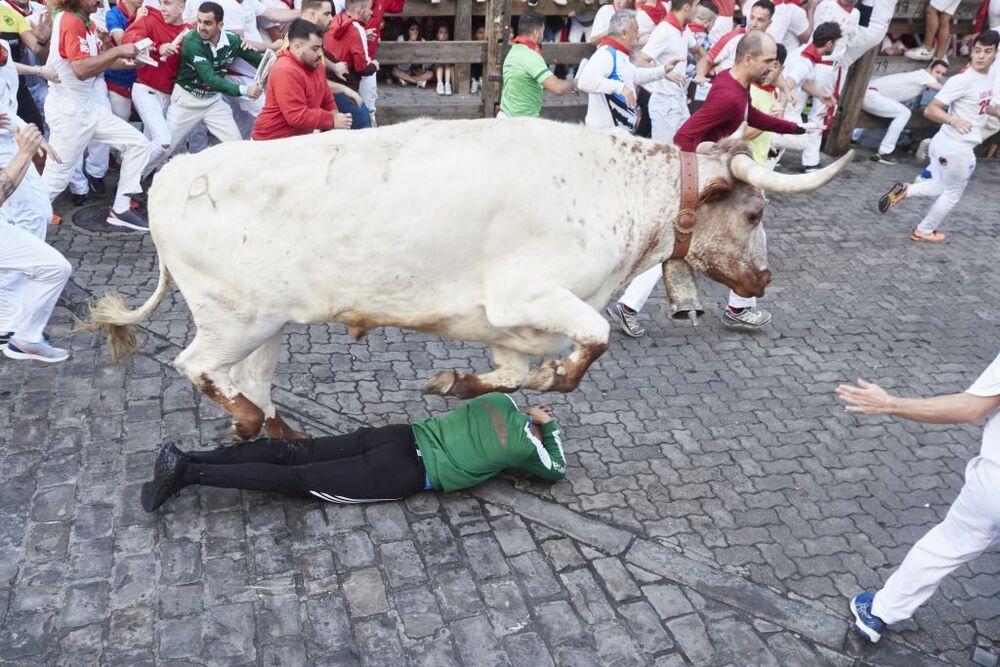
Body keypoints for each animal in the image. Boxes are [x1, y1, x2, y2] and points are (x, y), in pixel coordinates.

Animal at [82, 117, 852, 440]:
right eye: (754, 211)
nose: (764, 277)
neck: (613, 189)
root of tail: (178, 172)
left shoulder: (509, 325)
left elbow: (513, 377)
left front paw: (455, 383)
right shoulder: (528, 294)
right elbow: (594, 341)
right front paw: (545, 376)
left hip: (268, 324)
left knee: (253, 381)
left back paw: (283, 437)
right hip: (233, 318)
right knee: (195, 365)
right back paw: (248, 424)